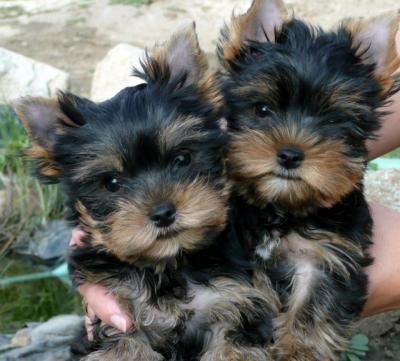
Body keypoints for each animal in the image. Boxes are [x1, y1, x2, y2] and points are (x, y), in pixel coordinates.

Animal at [16, 24, 278, 360]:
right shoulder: (121, 316)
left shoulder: (234, 303)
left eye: (182, 159)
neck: (169, 265)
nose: (163, 212)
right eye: (112, 182)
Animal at [219, 1, 400, 358]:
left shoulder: (328, 255)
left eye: (331, 121)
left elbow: (312, 308)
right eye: (262, 109)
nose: (290, 154)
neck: (280, 207)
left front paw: (297, 351)